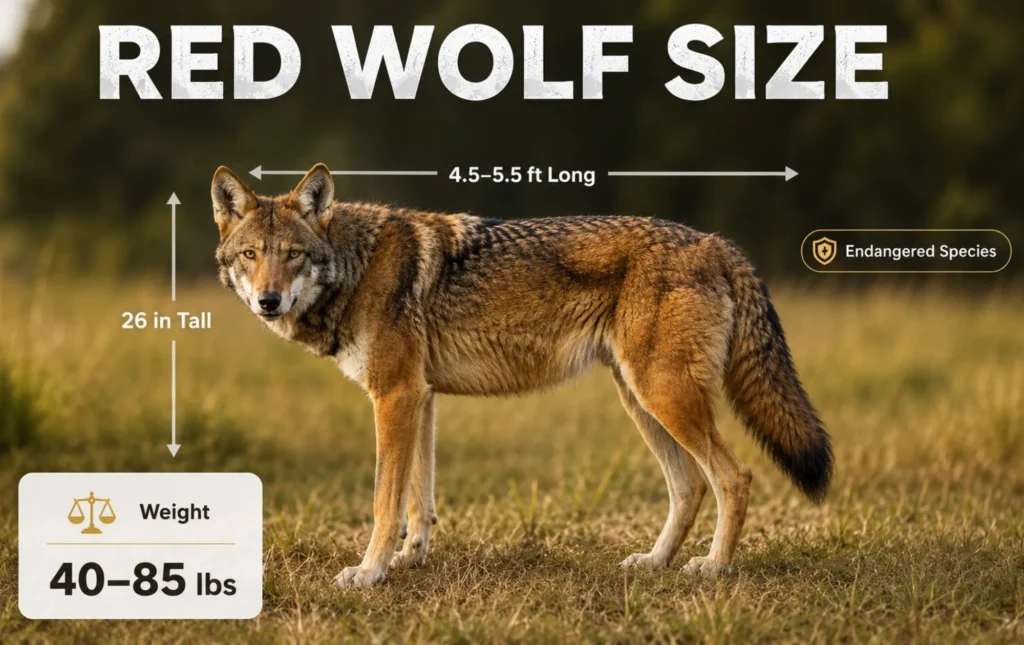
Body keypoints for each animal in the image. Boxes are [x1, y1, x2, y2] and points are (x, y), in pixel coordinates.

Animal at [211, 163, 833, 588]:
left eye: (292, 254)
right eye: (250, 255)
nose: (268, 301)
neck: (354, 267)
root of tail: (716, 242)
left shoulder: (395, 395)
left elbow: (385, 501)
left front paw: (368, 573)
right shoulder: (420, 397)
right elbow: (418, 500)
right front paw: (411, 560)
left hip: (663, 396)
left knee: (734, 476)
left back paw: (714, 567)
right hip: (641, 400)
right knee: (690, 486)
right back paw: (654, 562)